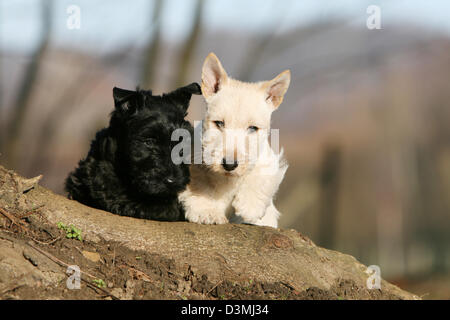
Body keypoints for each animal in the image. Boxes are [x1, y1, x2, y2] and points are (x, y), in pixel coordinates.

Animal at [178, 52, 290, 228]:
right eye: (219, 123)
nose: (229, 165)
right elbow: (199, 182)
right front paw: (207, 211)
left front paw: (250, 206)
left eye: (253, 128)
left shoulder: (268, 158)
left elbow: (261, 173)